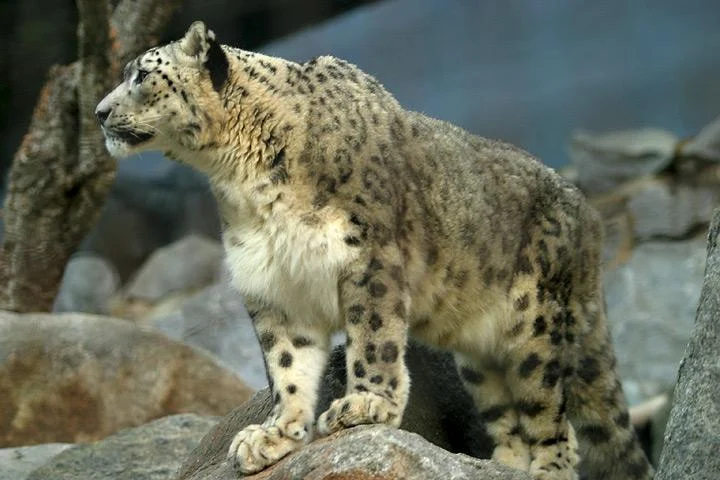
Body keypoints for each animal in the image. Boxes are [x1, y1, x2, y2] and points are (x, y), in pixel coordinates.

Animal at [96, 21, 652, 480]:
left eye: (141, 75)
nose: (99, 112)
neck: (241, 177)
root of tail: (587, 216)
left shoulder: (368, 257)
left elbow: (374, 335)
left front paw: (366, 404)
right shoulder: (273, 284)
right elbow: (286, 365)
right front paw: (275, 433)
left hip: (535, 327)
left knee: (552, 415)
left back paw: (546, 468)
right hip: (480, 359)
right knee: (506, 414)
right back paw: (500, 464)